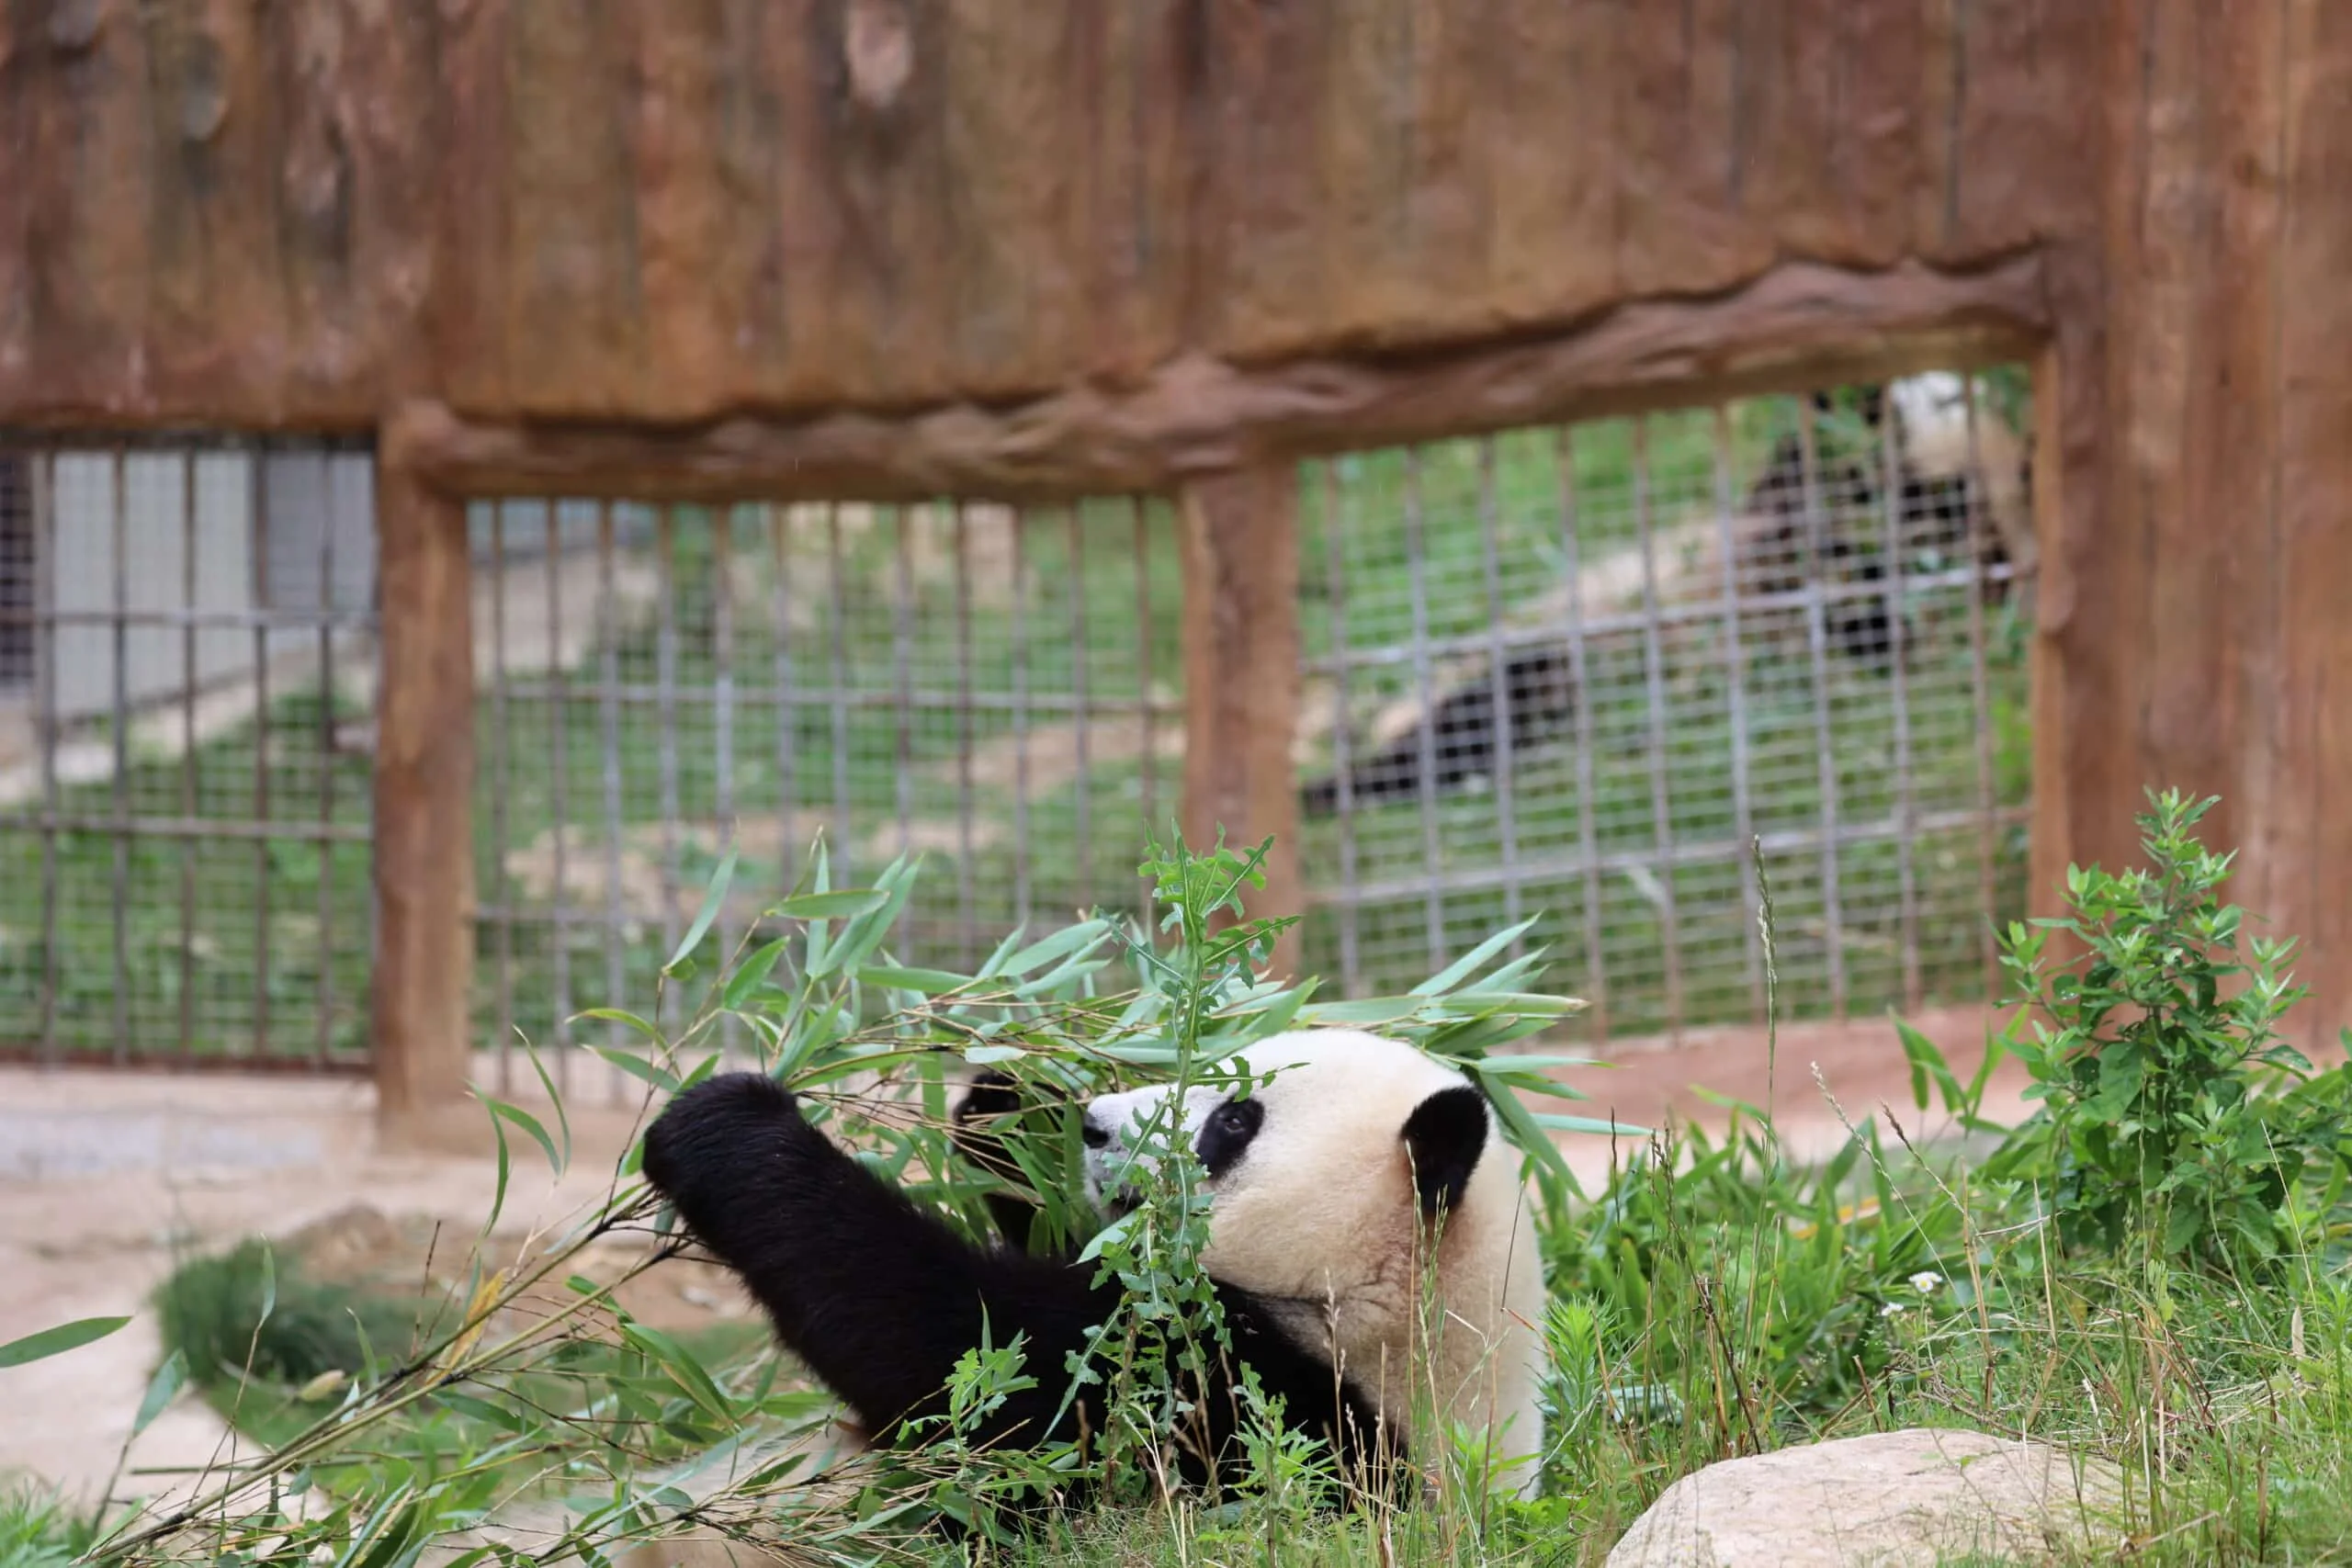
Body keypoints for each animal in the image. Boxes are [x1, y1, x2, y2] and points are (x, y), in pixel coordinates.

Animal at [639, 1028, 1550, 1505]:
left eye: (1236, 1119)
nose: (1099, 1125)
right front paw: (1009, 1102)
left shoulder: (1245, 1408)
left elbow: (964, 1357)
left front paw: (725, 1123)